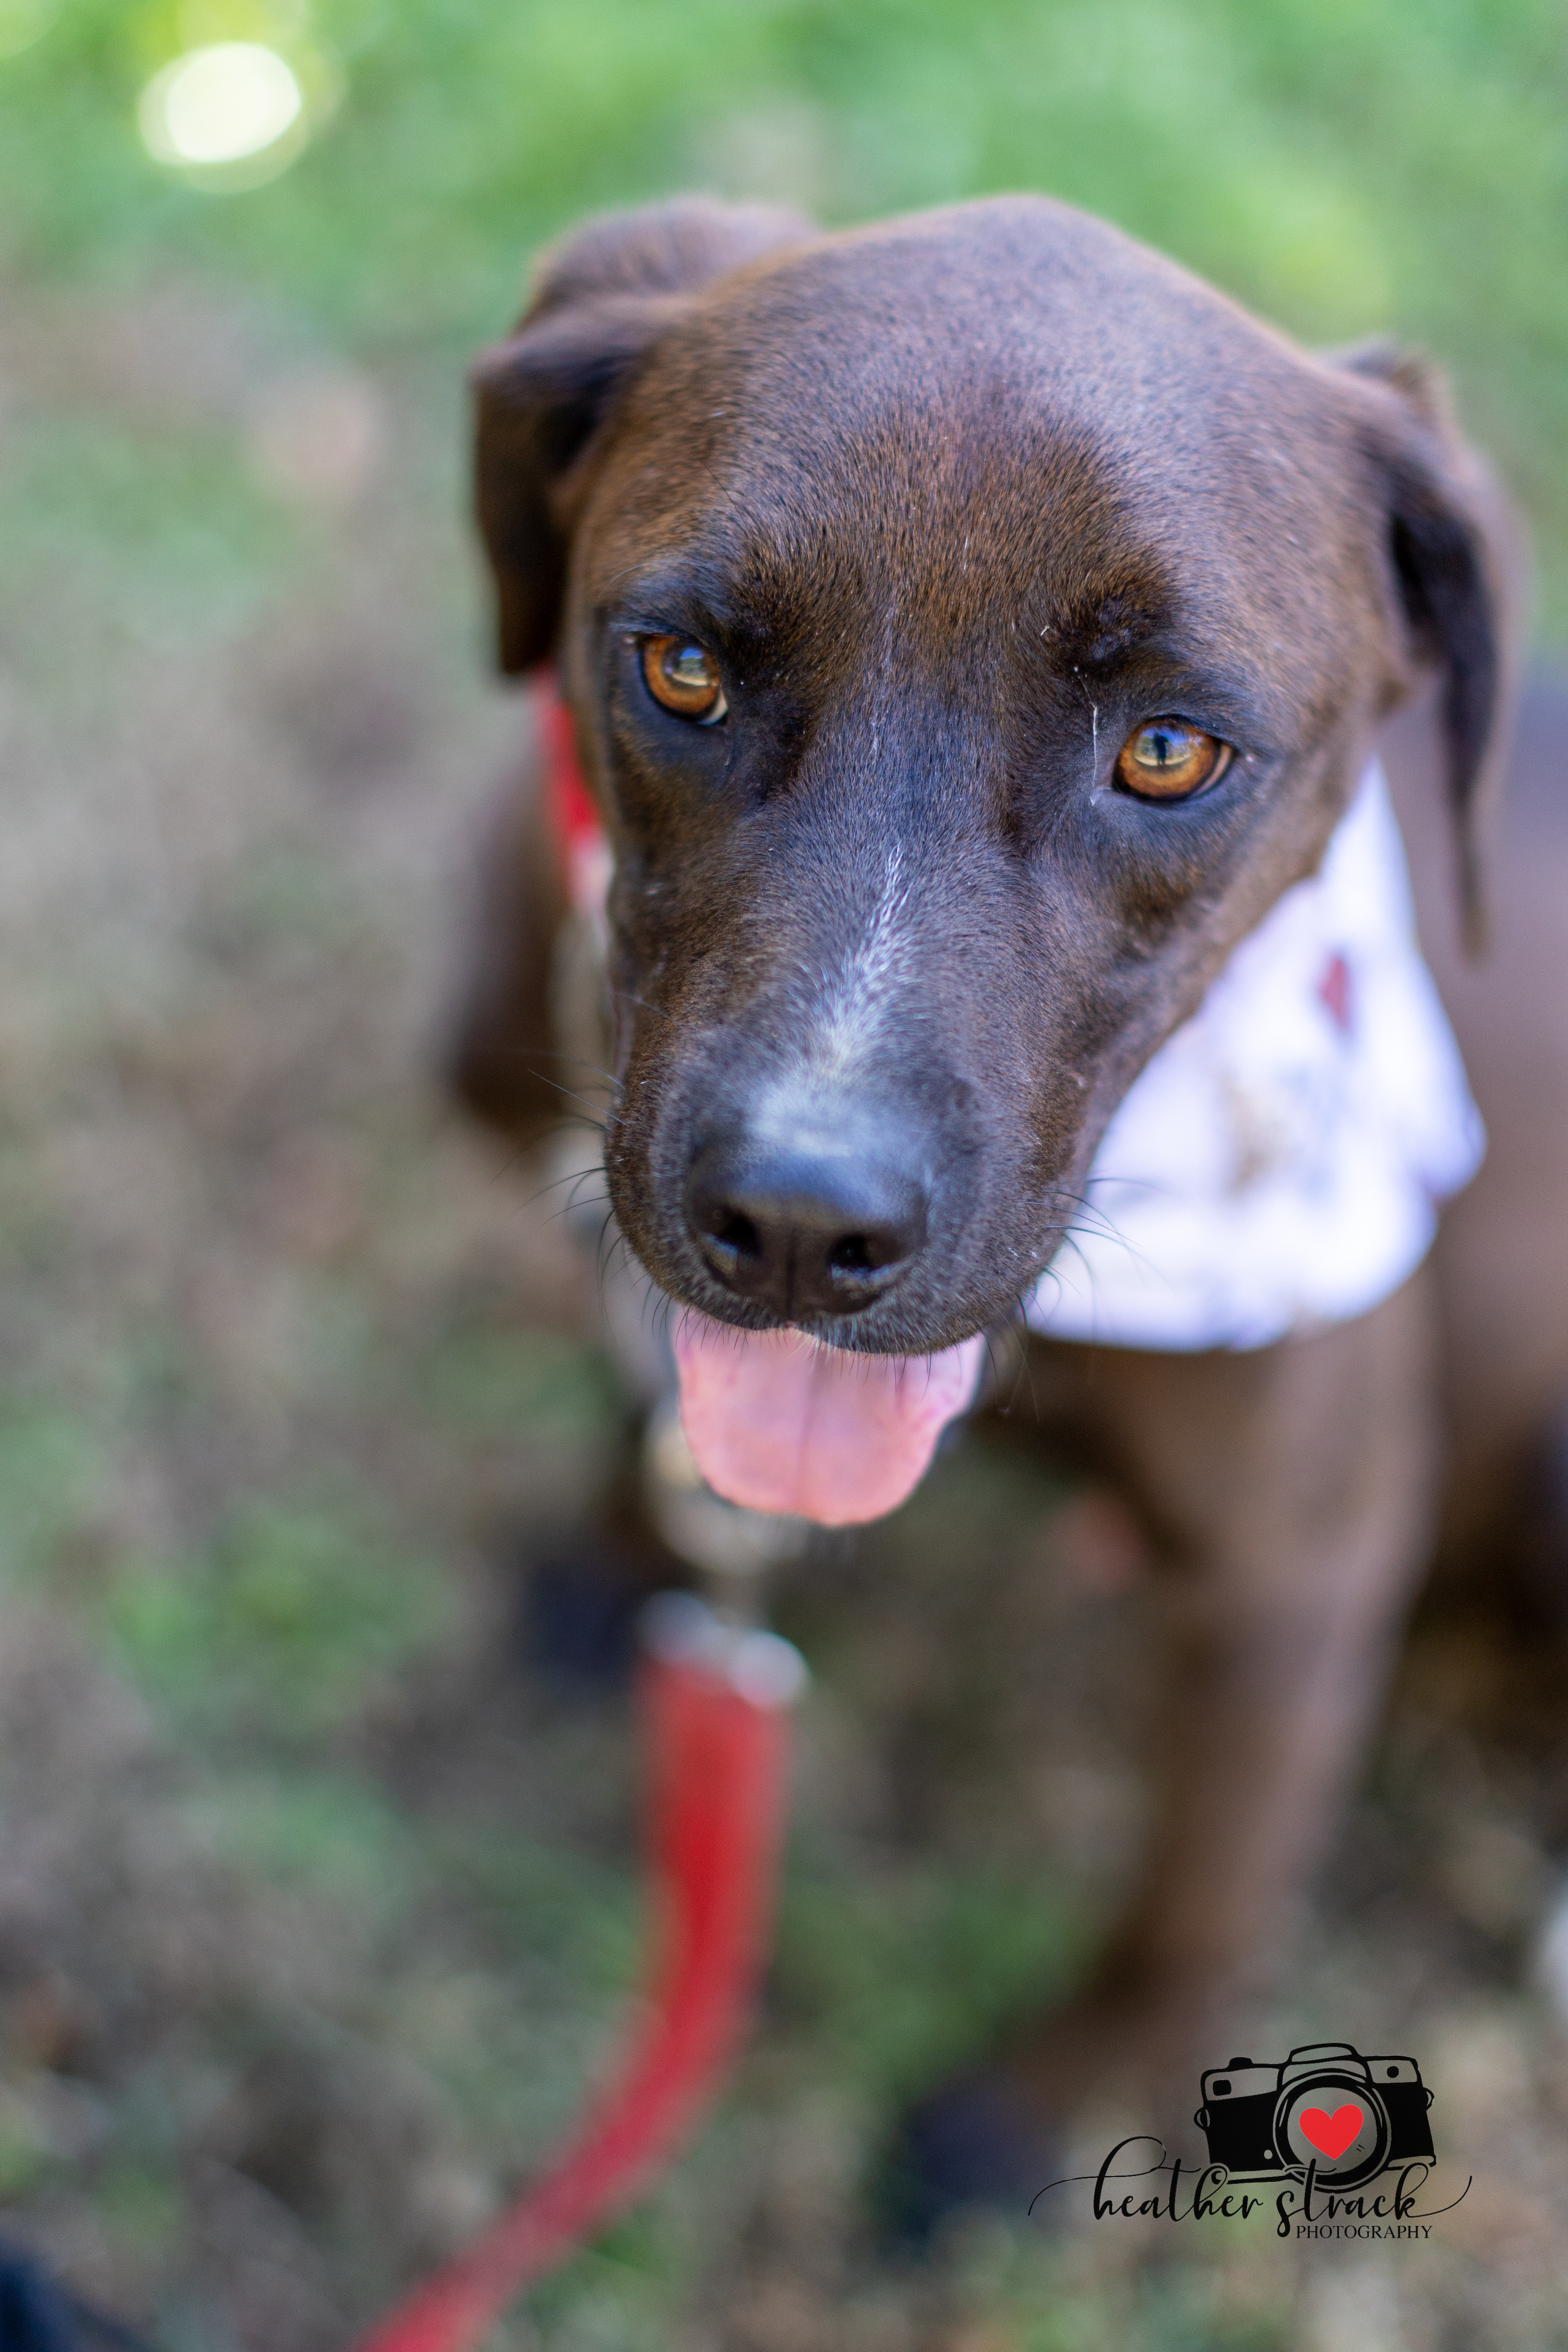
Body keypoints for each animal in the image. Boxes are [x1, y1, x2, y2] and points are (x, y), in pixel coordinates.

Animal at [444, 198, 1568, 2220]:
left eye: (1170, 751)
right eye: (682, 665)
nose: (800, 1222)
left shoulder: (1304, 1558)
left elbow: (1192, 1901)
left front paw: (1048, 2110)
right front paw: (619, 1555)